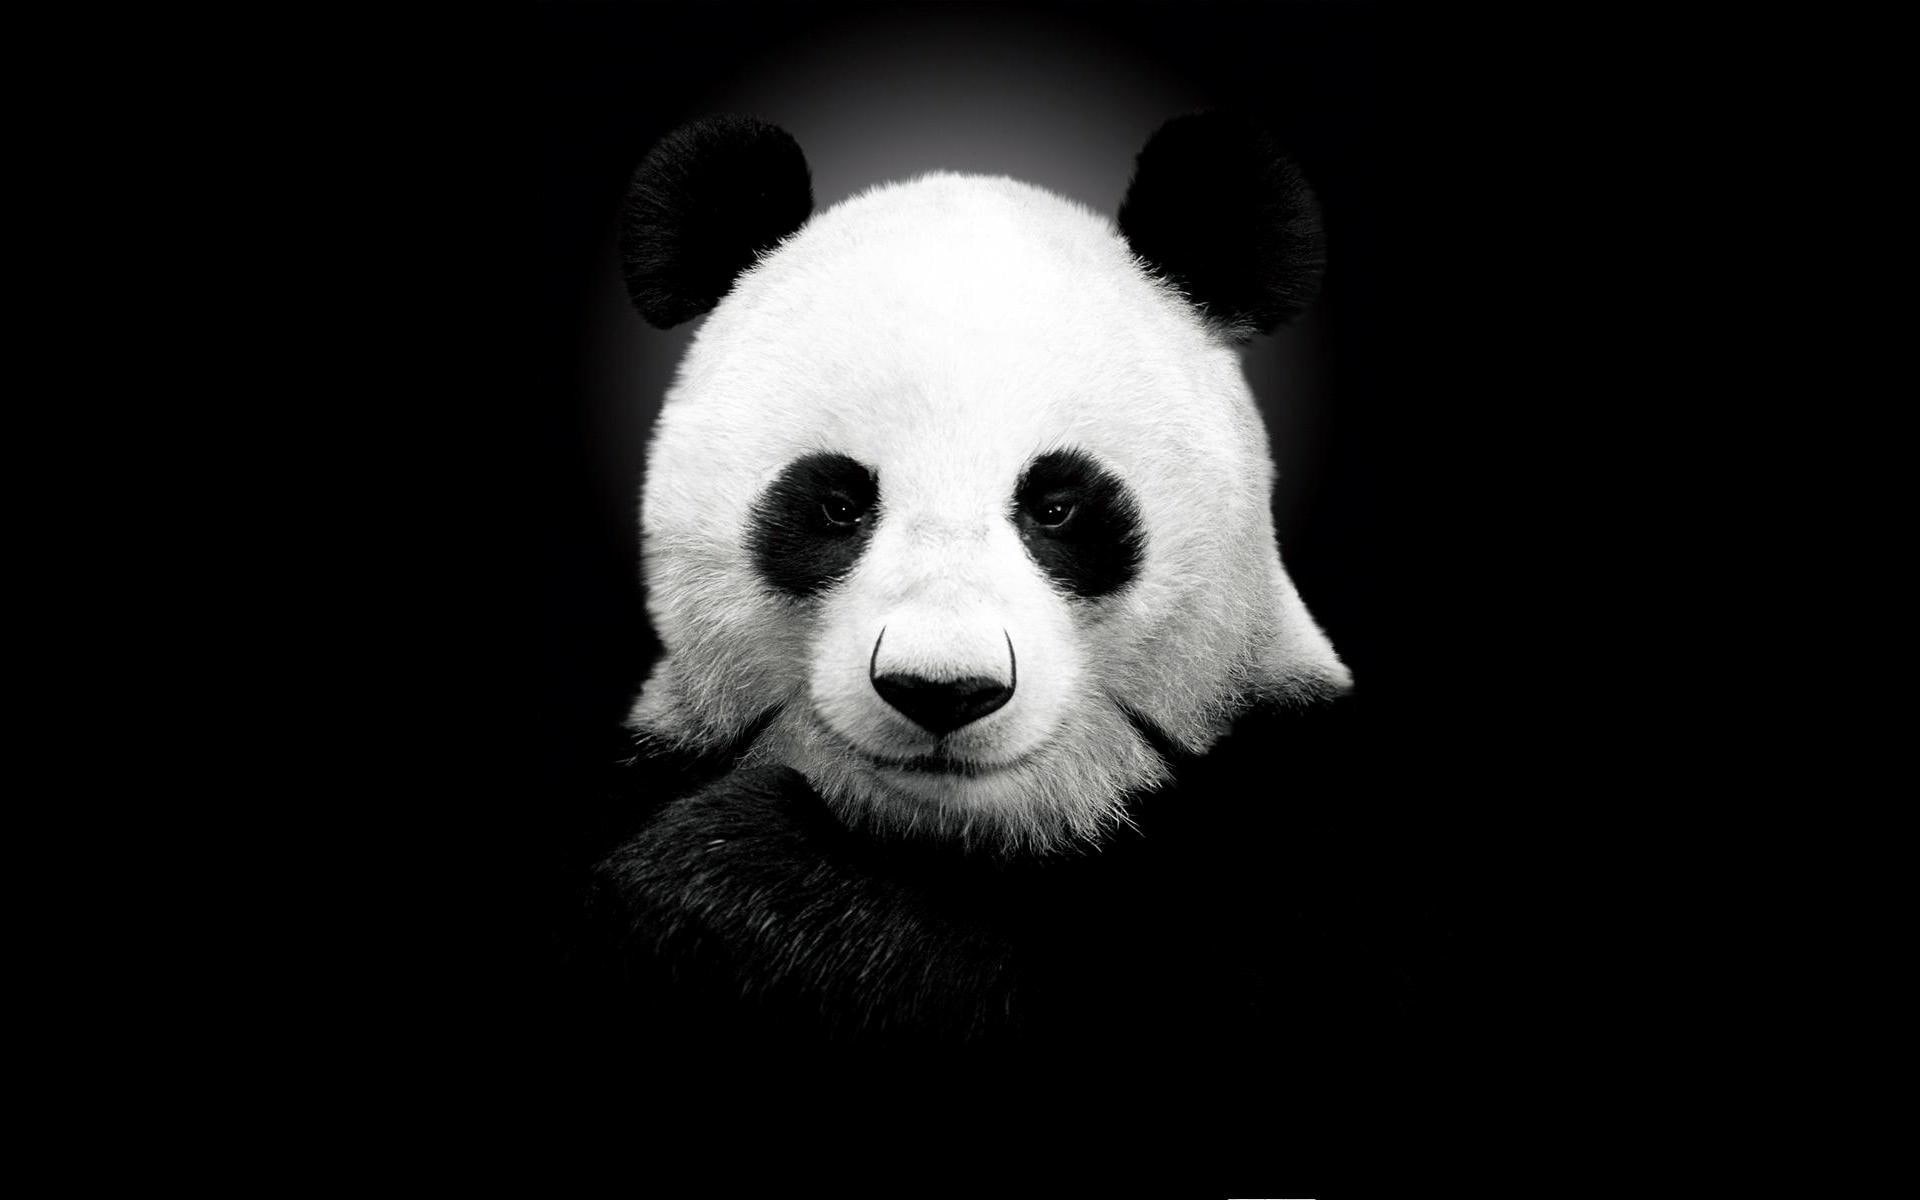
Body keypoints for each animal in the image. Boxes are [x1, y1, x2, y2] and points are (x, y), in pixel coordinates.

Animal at [572, 113, 1405, 1072]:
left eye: (1057, 506)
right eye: (837, 505)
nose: (943, 691)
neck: (958, 839)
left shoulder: (1296, 821)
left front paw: (731, 878)